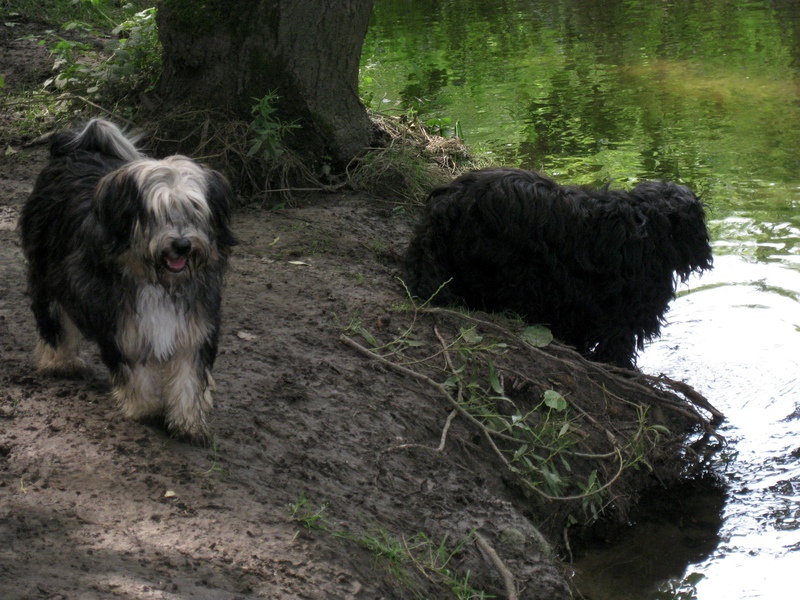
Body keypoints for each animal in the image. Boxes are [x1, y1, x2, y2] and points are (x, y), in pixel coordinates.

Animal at [19, 118, 237, 443]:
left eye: (194, 210)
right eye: (158, 213)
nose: (182, 245)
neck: (158, 281)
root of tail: (78, 150)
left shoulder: (194, 328)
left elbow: (188, 376)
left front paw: (188, 423)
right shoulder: (122, 324)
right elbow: (137, 370)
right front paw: (147, 409)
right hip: (49, 272)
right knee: (55, 319)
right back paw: (60, 361)